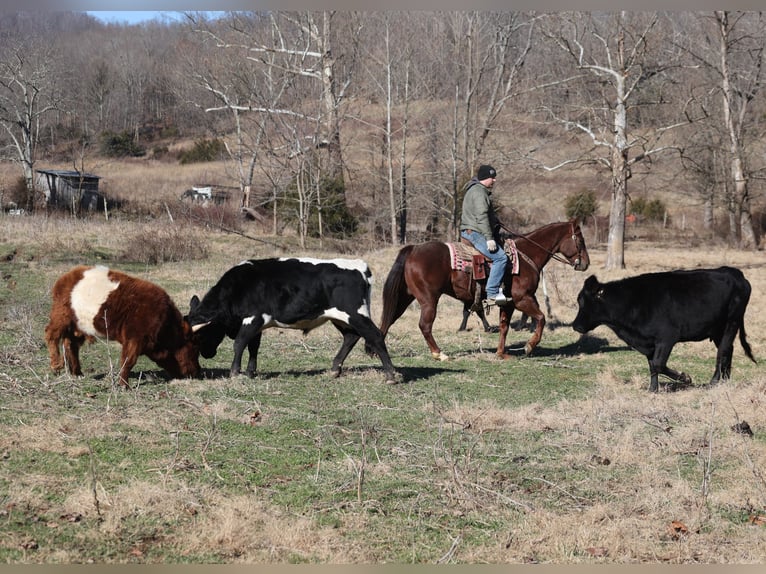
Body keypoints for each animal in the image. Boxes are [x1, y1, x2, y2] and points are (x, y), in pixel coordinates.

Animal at [379, 218, 590, 361]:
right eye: (580, 240)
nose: (585, 263)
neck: (524, 257)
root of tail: (413, 249)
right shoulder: (523, 299)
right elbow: (541, 318)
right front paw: (529, 346)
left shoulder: (509, 304)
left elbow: (504, 327)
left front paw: (501, 353)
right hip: (429, 300)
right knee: (425, 325)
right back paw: (439, 354)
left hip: (406, 297)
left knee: (389, 318)